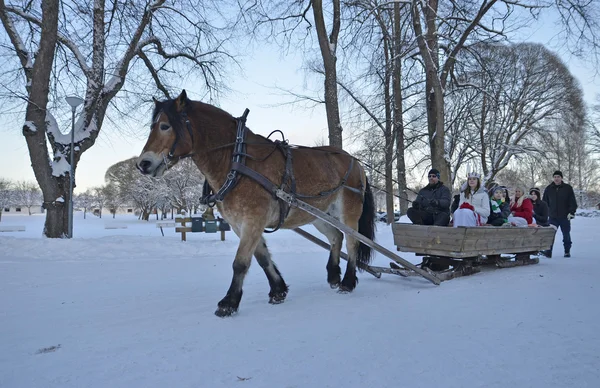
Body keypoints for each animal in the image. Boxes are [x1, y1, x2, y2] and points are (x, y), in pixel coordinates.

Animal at [138, 91, 372, 318]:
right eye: (153, 126)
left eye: (165, 126)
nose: (143, 164)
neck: (237, 160)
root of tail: (355, 161)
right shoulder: (240, 224)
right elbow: (262, 257)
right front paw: (278, 290)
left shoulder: (253, 220)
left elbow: (240, 262)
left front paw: (229, 303)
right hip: (319, 215)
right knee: (336, 237)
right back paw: (333, 276)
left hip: (348, 212)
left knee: (352, 242)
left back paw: (347, 282)